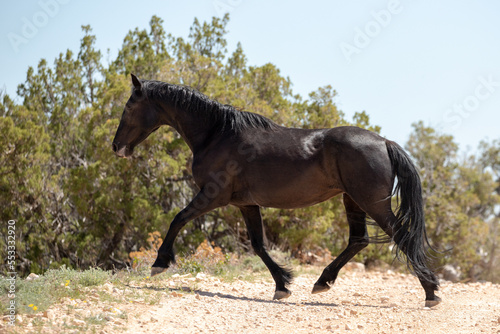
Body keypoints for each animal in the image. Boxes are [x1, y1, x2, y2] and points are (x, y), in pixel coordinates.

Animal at [113, 74, 442, 306]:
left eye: (129, 106)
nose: (117, 147)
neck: (217, 134)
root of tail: (384, 142)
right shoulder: (246, 204)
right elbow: (259, 245)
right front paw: (282, 285)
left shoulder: (212, 196)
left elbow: (177, 219)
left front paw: (159, 263)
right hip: (353, 200)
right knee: (358, 240)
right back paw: (322, 282)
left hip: (372, 203)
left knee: (401, 237)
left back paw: (431, 292)